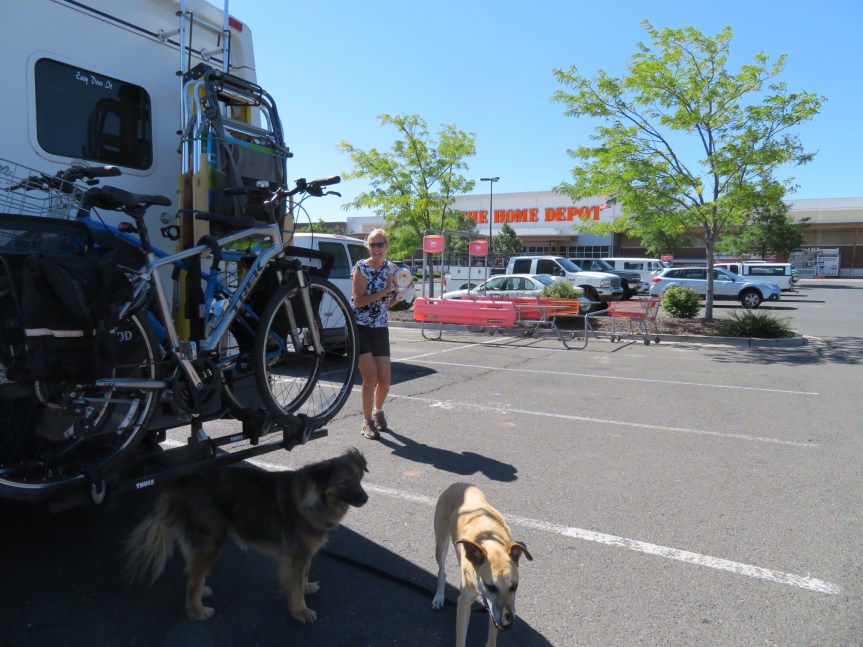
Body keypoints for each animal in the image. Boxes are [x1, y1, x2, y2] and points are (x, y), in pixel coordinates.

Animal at [124, 448, 368, 622]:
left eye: (359, 478)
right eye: (343, 482)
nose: (365, 498)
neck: (316, 498)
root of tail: (180, 484)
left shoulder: (304, 554)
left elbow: (303, 575)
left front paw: (306, 588)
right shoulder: (296, 555)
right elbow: (296, 583)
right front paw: (301, 611)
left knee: (194, 574)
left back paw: (202, 593)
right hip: (211, 542)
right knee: (193, 580)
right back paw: (197, 611)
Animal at [431, 483, 533, 647]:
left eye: (514, 587)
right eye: (491, 587)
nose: (507, 624)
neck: (489, 540)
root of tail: (458, 484)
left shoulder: (494, 612)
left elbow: (492, 637)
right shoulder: (464, 602)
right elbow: (461, 639)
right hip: (441, 544)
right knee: (442, 570)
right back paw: (439, 597)